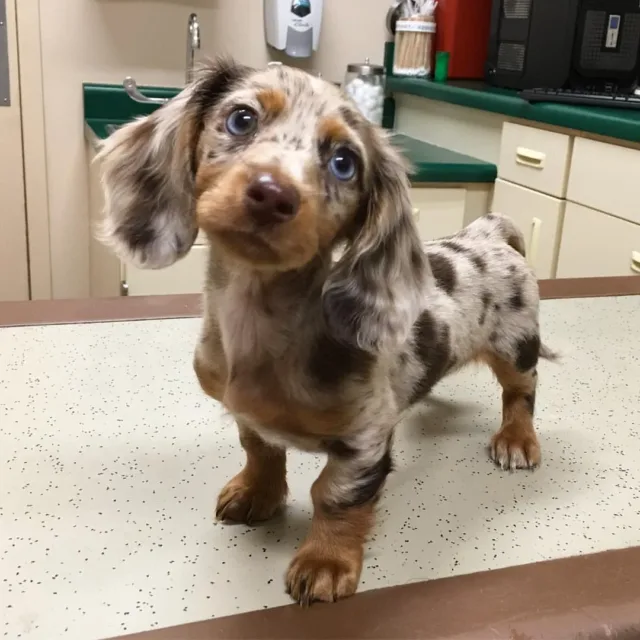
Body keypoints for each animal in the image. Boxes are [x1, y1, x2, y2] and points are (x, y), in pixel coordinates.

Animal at [97, 58, 552, 604]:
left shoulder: (363, 441)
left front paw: (325, 562)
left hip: (517, 346)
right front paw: (257, 494)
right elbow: (261, 451)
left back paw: (516, 439)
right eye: (241, 119)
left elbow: (335, 497)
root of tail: (485, 231)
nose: (271, 194)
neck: (260, 325)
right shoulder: (250, 418)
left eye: (344, 162)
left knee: (520, 392)